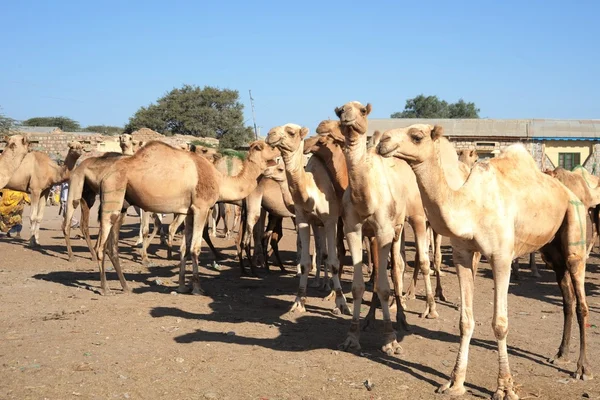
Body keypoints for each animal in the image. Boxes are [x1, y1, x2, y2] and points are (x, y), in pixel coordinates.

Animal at [95, 140, 280, 294]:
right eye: (268, 147)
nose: (279, 150)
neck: (220, 180)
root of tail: (105, 174)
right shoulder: (201, 208)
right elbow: (195, 248)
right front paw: (197, 288)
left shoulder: (189, 212)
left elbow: (184, 248)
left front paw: (182, 286)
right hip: (112, 192)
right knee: (100, 245)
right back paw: (105, 289)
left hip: (123, 203)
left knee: (112, 245)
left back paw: (125, 287)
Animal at [264, 123, 350, 314]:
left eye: (291, 132)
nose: (270, 134)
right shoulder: (304, 219)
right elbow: (305, 261)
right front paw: (298, 301)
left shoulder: (330, 220)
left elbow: (332, 261)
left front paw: (341, 303)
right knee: (331, 250)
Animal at [378, 124, 592, 396]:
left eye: (417, 136)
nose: (382, 140)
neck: (470, 207)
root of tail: (570, 194)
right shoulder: (462, 256)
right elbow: (465, 321)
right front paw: (455, 382)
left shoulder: (501, 257)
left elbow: (500, 323)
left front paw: (505, 387)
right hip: (552, 251)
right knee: (567, 298)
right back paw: (560, 354)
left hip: (575, 226)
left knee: (581, 300)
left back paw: (582, 368)